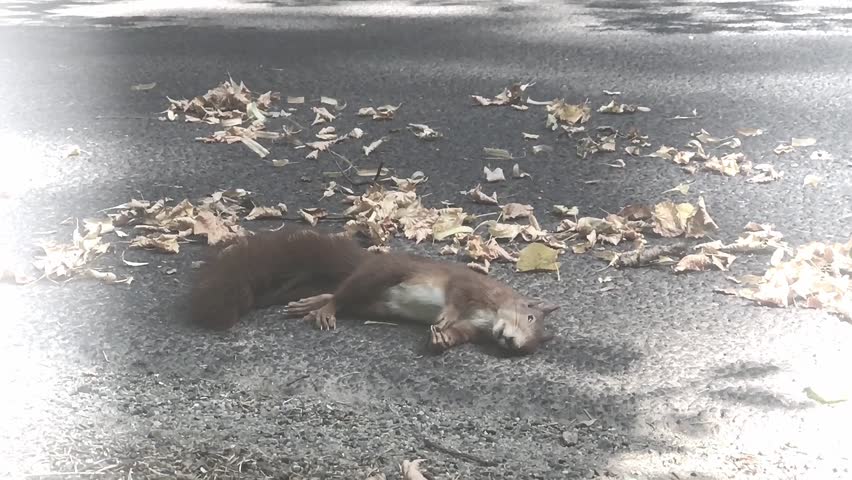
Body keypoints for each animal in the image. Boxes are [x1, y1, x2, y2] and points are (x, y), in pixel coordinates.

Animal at [188, 225, 559, 354]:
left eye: (529, 348)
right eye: (529, 316)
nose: (512, 342)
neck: (491, 313)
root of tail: (365, 261)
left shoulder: (475, 328)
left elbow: (460, 333)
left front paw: (443, 339)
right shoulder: (469, 285)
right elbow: (455, 297)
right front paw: (444, 320)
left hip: (373, 303)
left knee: (343, 295)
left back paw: (312, 303)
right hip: (383, 274)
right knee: (343, 293)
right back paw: (324, 309)